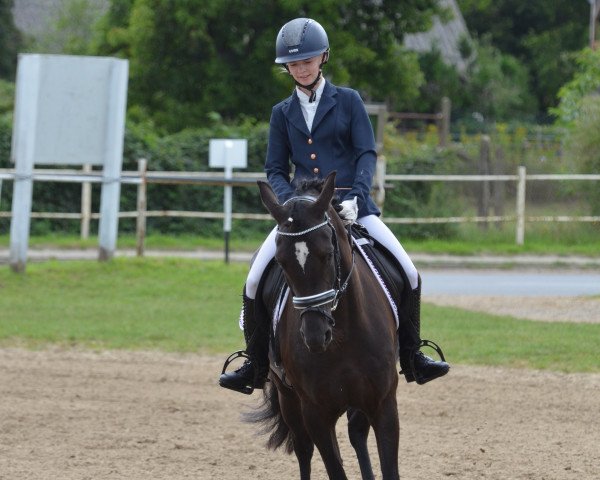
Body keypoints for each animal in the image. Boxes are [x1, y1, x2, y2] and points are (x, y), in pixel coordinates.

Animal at [252, 173, 398, 480]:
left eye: (328, 253)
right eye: (281, 261)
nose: (315, 336)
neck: (343, 335)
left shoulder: (383, 404)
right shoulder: (316, 413)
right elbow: (334, 468)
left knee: (356, 435)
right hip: (289, 399)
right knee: (303, 449)